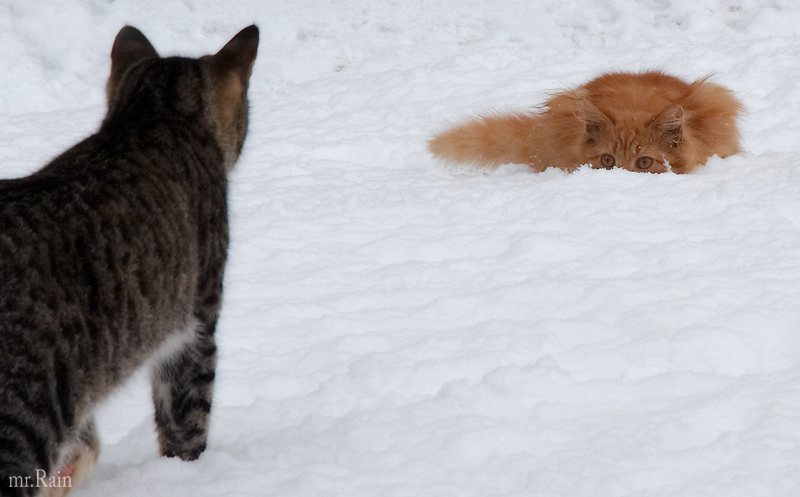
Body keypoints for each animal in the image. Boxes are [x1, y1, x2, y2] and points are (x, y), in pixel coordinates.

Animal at [0, 24, 258, 496]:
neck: (153, 113)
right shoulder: (196, 326)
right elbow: (187, 422)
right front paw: (190, 477)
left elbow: (88, 441)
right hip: (23, 415)